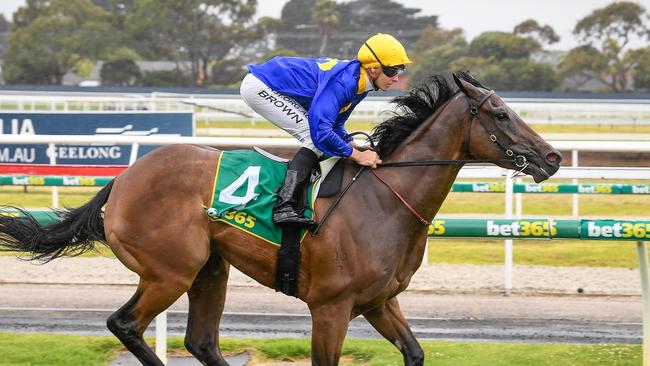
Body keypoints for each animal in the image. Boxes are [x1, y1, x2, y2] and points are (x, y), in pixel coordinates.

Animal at [0, 72, 556, 366]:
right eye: (501, 114)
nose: (551, 158)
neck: (385, 198)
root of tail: (124, 178)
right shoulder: (330, 308)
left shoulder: (379, 301)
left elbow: (415, 353)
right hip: (169, 271)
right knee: (126, 323)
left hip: (210, 268)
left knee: (201, 341)